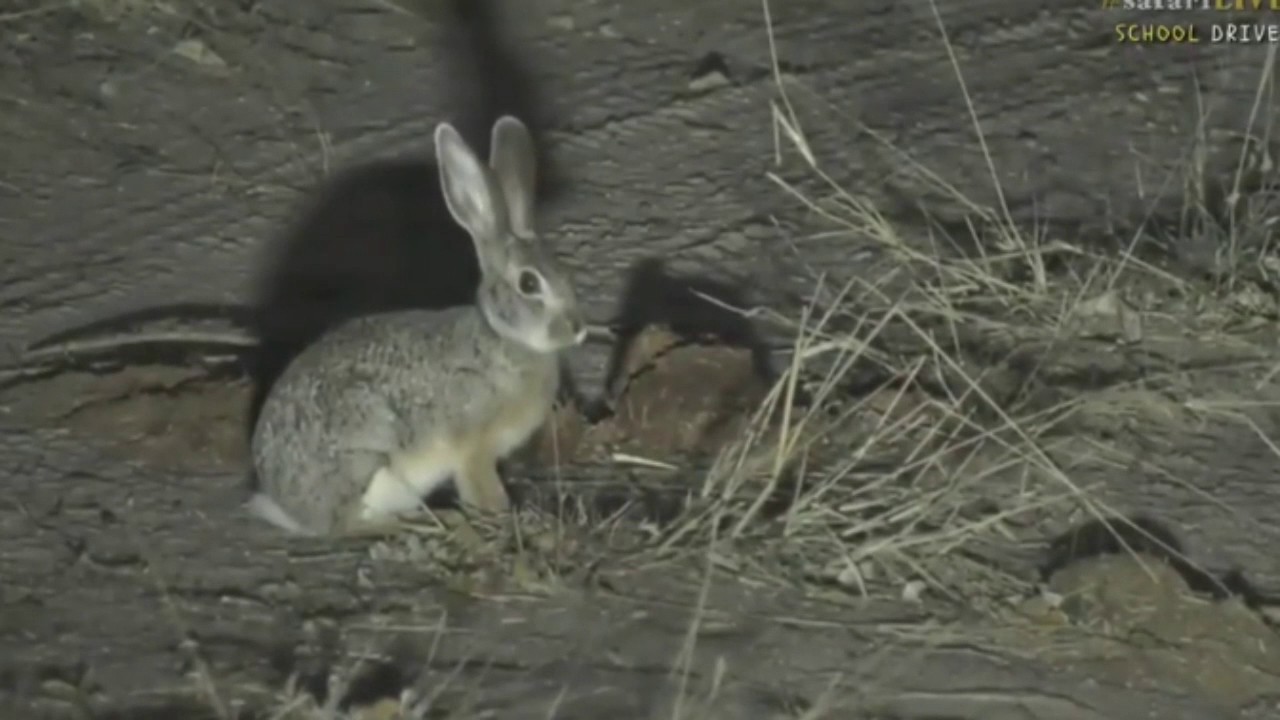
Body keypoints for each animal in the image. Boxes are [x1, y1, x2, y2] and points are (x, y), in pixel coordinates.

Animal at [247, 115, 586, 536]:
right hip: (366, 453)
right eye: (529, 284)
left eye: (566, 273)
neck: (505, 341)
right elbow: (482, 490)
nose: (578, 327)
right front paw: (502, 517)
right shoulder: (473, 449)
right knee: (347, 524)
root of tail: (285, 504)